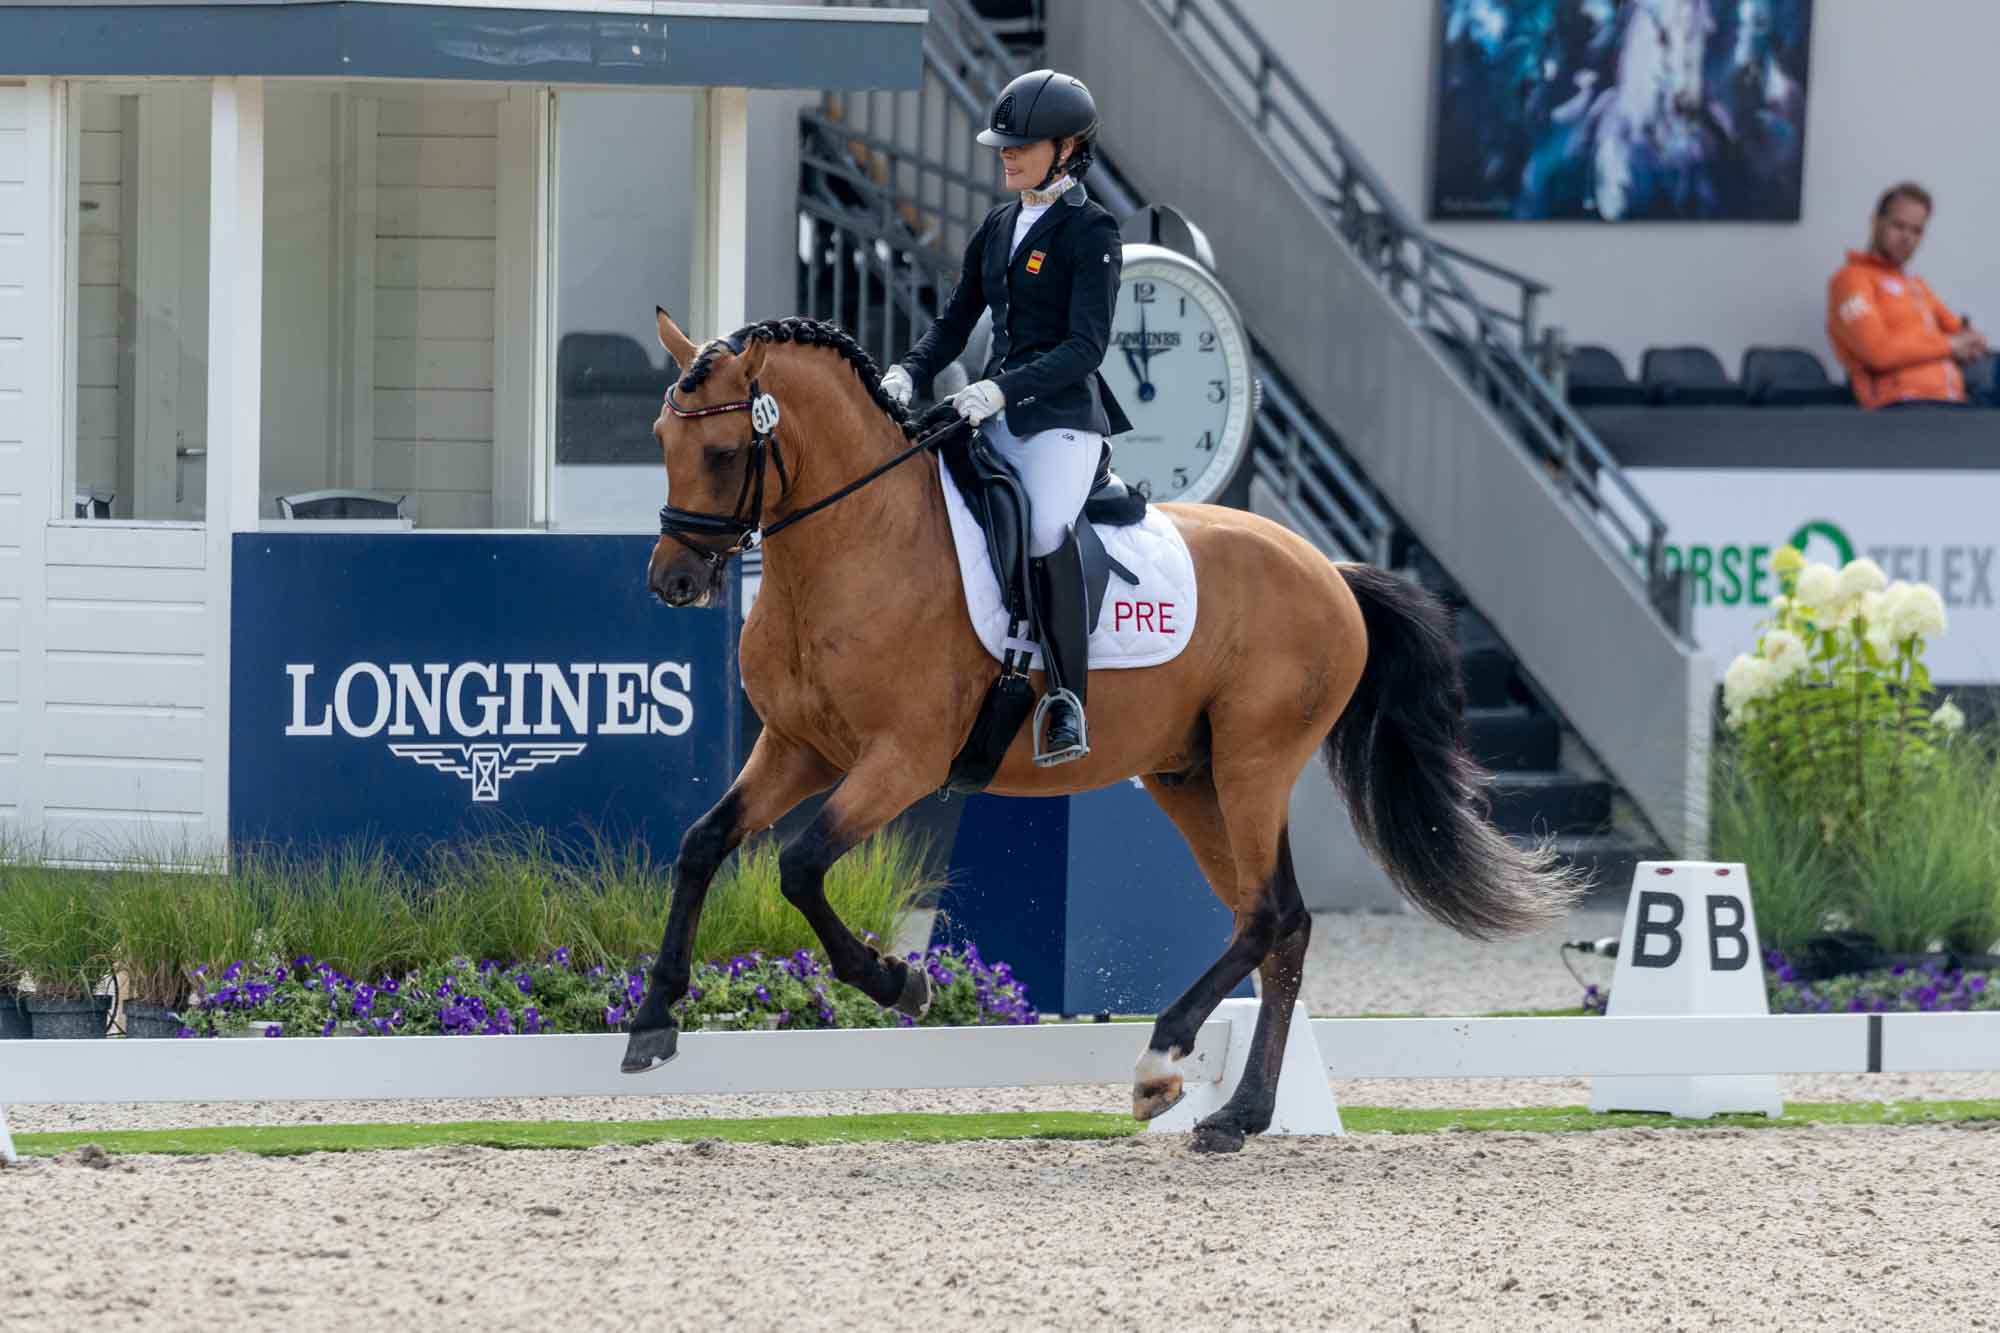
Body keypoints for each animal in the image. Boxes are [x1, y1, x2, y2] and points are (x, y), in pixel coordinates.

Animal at [624, 306, 1576, 1144]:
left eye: (721, 453)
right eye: (659, 442)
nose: (673, 581)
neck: (859, 541)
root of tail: (1329, 568)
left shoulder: (901, 762)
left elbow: (799, 865)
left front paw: (899, 983)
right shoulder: (799, 748)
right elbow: (703, 843)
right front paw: (653, 1019)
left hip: (1254, 762)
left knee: (1269, 914)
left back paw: (1163, 1062)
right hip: (1192, 778)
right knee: (1281, 921)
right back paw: (1238, 1115)